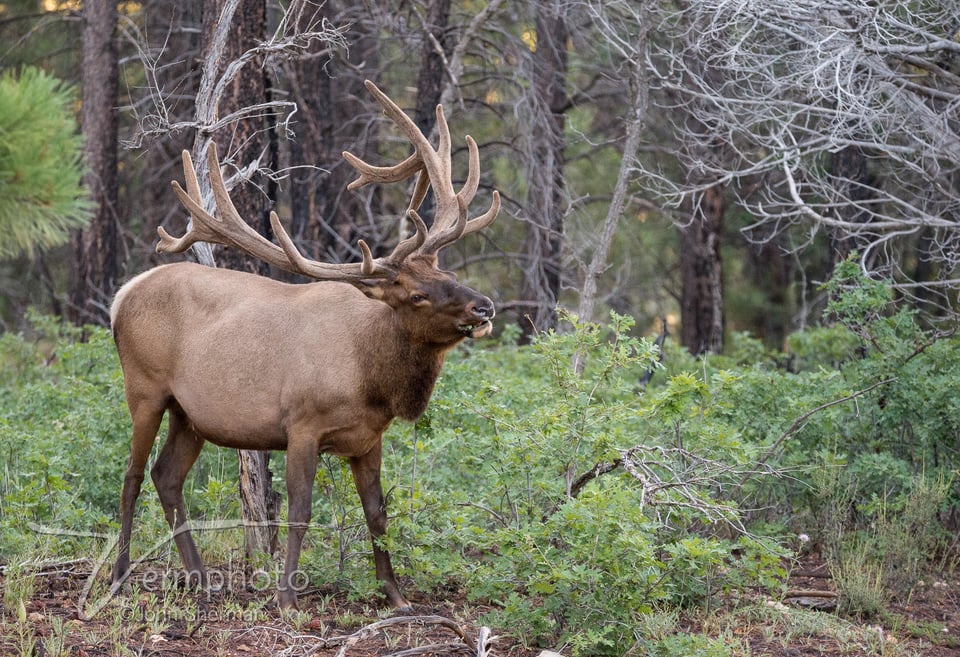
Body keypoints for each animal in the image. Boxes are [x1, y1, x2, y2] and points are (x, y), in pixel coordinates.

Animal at [110, 80, 502, 608]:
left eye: (450, 274)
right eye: (417, 295)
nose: (484, 307)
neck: (372, 379)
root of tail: (122, 296)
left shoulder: (369, 439)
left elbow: (377, 513)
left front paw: (395, 596)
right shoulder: (302, 425)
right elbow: (299, 510)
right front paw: (287, 598)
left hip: (189, 413)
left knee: (166, 476)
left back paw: (199, 577)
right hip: (145, 388)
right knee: (132, 476)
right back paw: (118, 575)